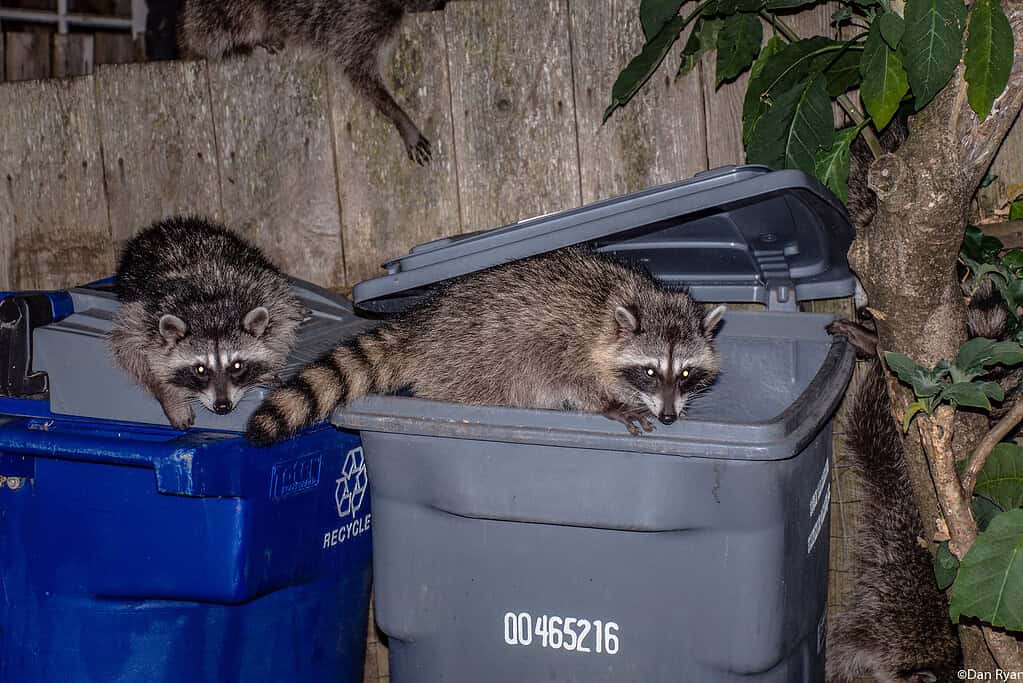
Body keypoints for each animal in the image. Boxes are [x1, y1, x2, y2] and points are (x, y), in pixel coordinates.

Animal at [111, 216, 305, 430]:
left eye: (237, 366)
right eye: (201, 369)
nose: (223, 406)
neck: (212, 314)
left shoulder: (267, 295)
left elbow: (283, 329)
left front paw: (270, 366)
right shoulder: (141, 319)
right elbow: (133, 356)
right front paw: (170, 395)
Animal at [177, 0, 446, 165]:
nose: (442, 4)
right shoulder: (355, 20)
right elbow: (359, 74)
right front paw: (400, 117)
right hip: (218, 10)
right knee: (219, 30)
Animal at [246, 248, 726, 446]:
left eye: (685, 372)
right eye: (650, 370)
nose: (669, 417)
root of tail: (421, 322)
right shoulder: (565, 341)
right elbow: (570, 380)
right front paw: (610, 403)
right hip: (469, 360)